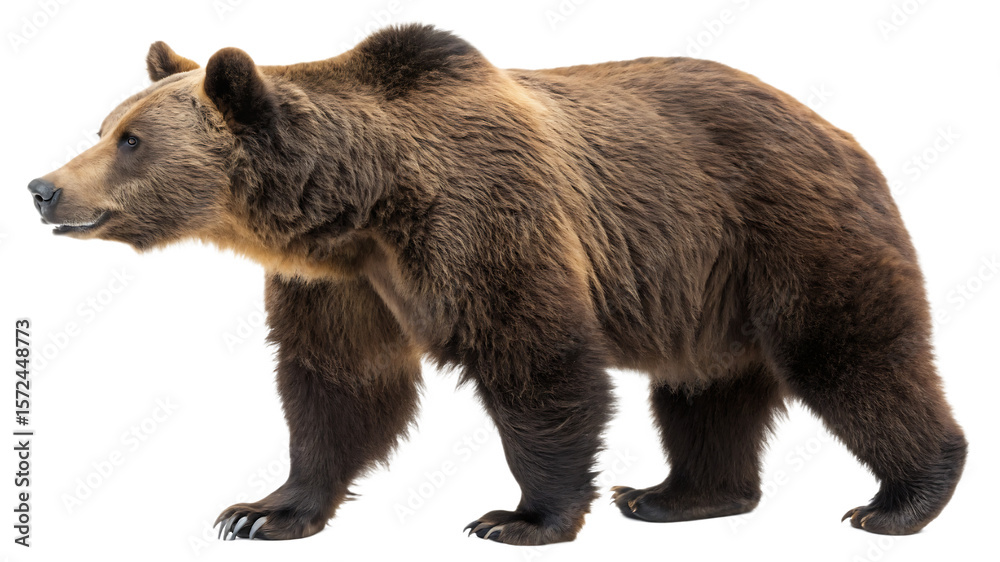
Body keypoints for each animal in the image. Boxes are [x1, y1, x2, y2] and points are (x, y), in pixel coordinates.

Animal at [27, 24, 966, 545]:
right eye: (105, 125)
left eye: (131, 140)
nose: (42, 187)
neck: (361, 205)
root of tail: (842, 131)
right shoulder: (343, 283)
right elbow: (337, 387)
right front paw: (265, 510)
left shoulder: (484, 216)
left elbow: (537, 363)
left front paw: (520, 517)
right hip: (706, 288)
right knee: (705, 388)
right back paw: (677, 495)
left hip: (783, 230)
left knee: (852, 355)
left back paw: (901, 500)